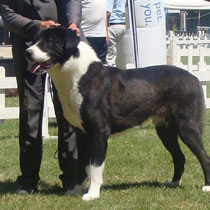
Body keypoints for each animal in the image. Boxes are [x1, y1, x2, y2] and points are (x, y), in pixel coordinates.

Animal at [26, 27, 210, 200]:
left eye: (49, 42)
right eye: (35, 40)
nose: (28, 52)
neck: (79, 77)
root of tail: (194, 78)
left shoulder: (99, 132)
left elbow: (95, 166)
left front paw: (92, 194)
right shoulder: (82, 134)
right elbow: (82, 165)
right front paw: (77, 190)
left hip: (187, 127)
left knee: (204, 157)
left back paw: (207, 187)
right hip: (165, 130)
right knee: (180, 157)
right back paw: (174, 183)